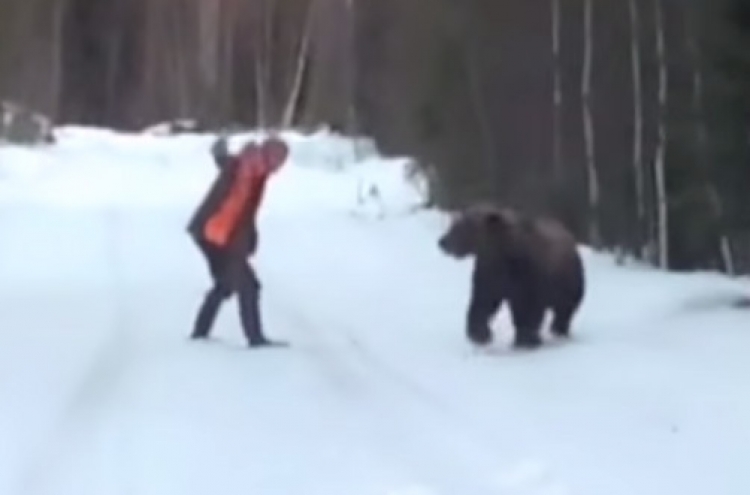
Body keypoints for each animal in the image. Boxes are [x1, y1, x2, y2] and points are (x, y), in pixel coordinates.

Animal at [440, 203, 588, 350]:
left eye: (463, 225)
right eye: (454, 223)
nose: (442, 242)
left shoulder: (528, 276)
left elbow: (529, 308)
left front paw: (527, 340)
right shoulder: (490, 273)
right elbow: (482, 302)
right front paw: (480, 335)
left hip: (569, 280)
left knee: (565, 309)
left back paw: (557, 330)